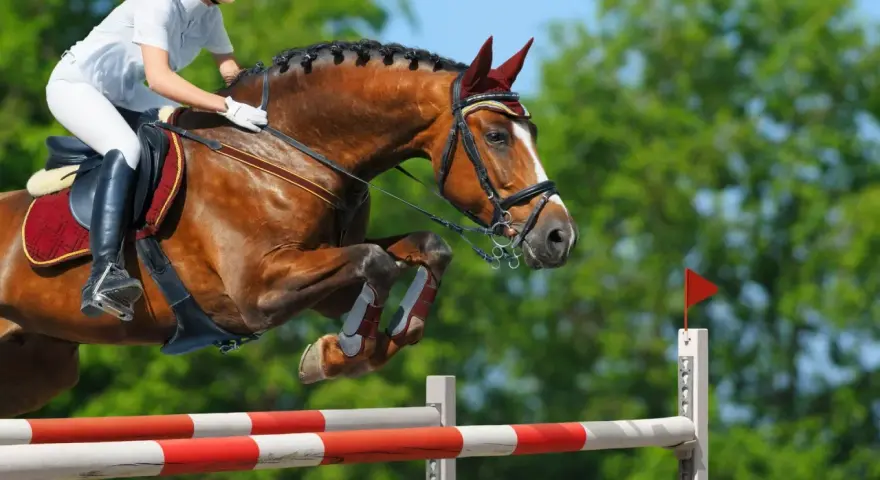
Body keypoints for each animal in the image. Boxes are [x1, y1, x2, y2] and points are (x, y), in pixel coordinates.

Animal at [0, 36, 577, 418]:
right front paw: (341, 353)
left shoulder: (322, 279)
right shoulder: (257, 293)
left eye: (531, 132)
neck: (282, 154)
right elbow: (378, 262)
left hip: (37, 368)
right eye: (497, 135)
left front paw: (354, 348)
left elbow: (423, 250)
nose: (560, 237)